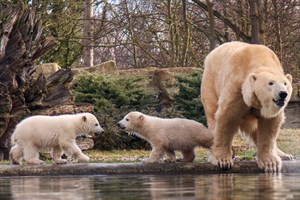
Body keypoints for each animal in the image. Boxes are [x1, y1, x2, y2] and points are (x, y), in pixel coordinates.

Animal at [200, 41, 292, 172]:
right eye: (270, 83)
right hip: (211, 82)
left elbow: (269, 124)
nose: (283, 94)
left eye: (285, 83)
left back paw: (284, 155)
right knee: (212, 115)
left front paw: (271, 163)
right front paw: (223, 160)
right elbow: (227, 117)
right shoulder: (237, 87)